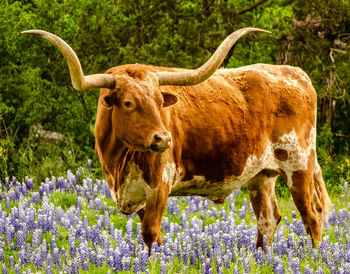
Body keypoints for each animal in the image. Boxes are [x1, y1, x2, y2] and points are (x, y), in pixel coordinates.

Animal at [22, 28, 330, 255]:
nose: (164, 138)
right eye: (128, 102)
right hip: (261, 175)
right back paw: (260, 259)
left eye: (160, 100)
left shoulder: (160, 186)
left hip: (299, 164)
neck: (119, 161)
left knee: (312, 215)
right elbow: (152, 236)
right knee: (268, 219)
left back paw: (315, 258)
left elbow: (151, 234)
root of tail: (296, 74)